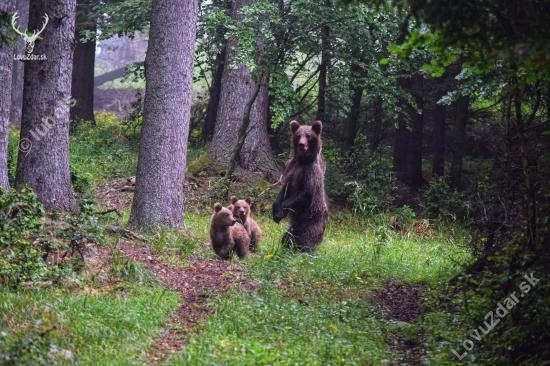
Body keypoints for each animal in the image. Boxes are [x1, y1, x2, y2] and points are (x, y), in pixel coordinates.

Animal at [274, 120, 330, 252]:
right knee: (288, 236)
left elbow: (305, 193)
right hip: (296, 227)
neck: (302, 160)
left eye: (308, 136)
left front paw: (282, 211)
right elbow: (284, 189)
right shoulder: (291, 169)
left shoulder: (310, 173)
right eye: (298, 135)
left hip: (312, 221)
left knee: (306, 239)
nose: (301, 145)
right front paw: (276, 211)